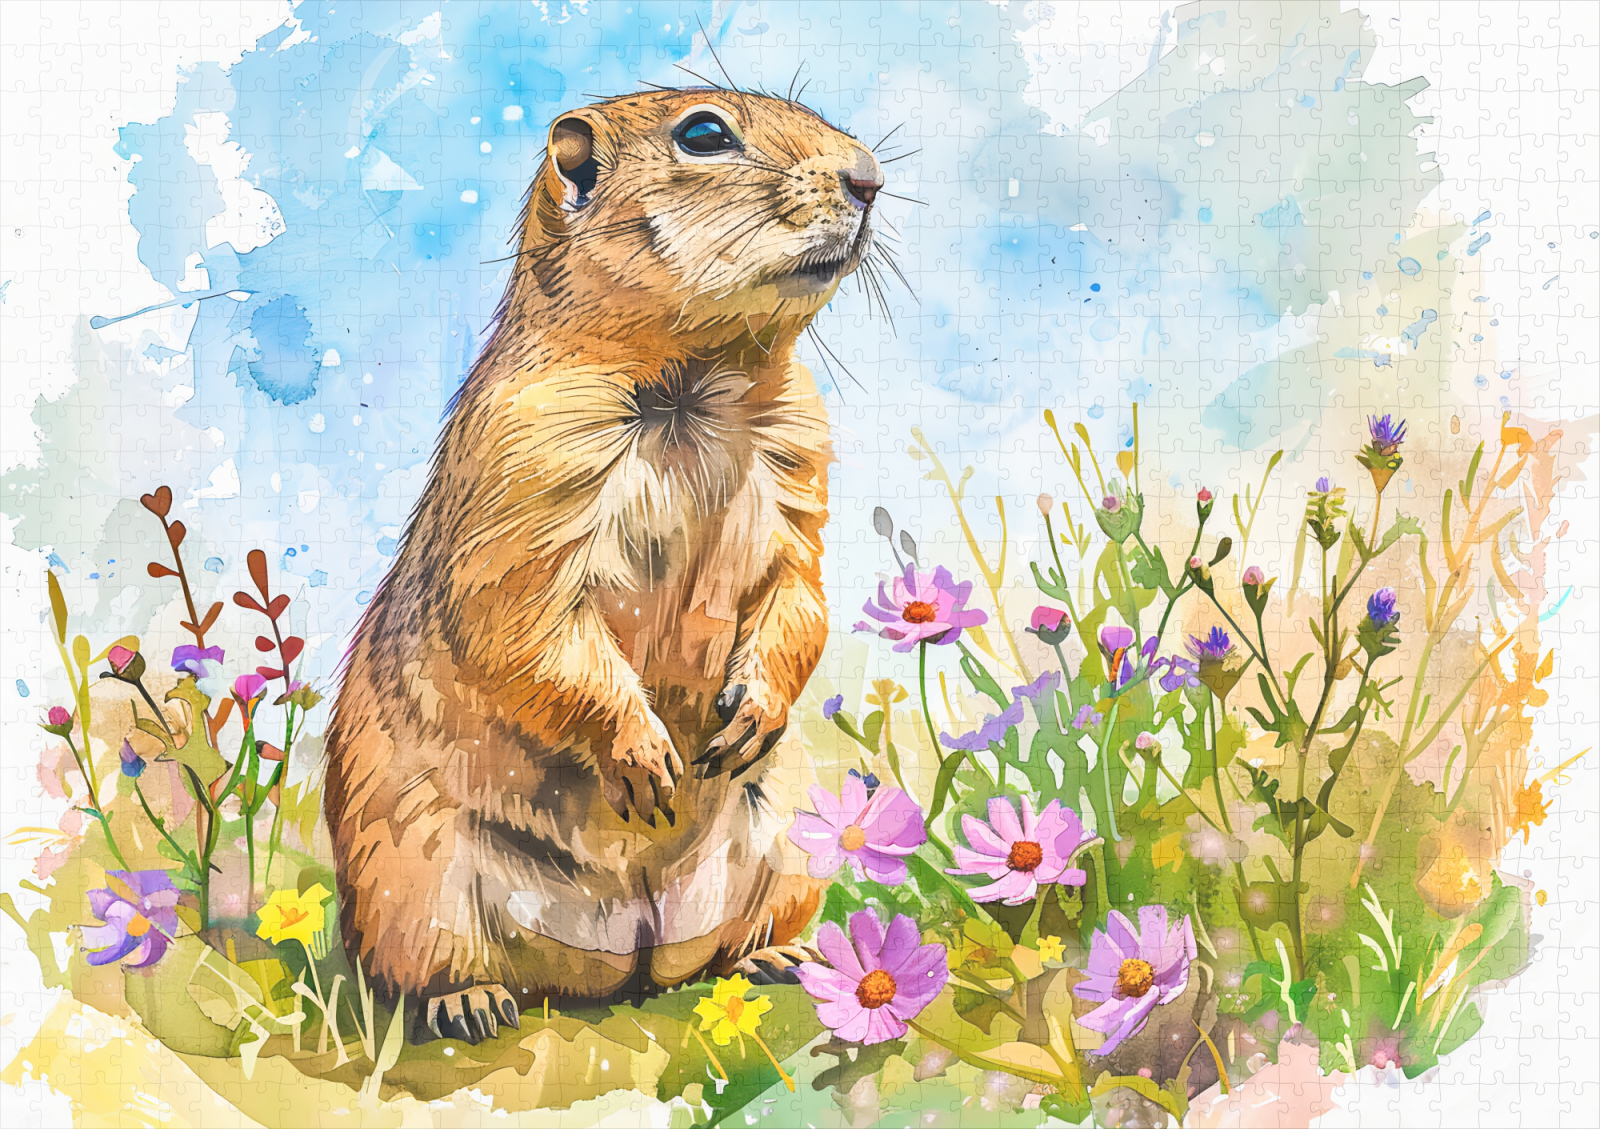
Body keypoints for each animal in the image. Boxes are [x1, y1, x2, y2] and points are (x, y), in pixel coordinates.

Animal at [321, 88, 883, 1043]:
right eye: (704, 134)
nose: (870, 178)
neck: (696, 384)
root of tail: (629, 951)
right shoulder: (524, 461)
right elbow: (523, 620)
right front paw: (647, 756)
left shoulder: (799, 466)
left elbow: (797, 591)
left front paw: (749, 714)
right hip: (407, 869)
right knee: (419, 962)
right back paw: (470, 1002)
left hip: (792, 844)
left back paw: (778, 956)